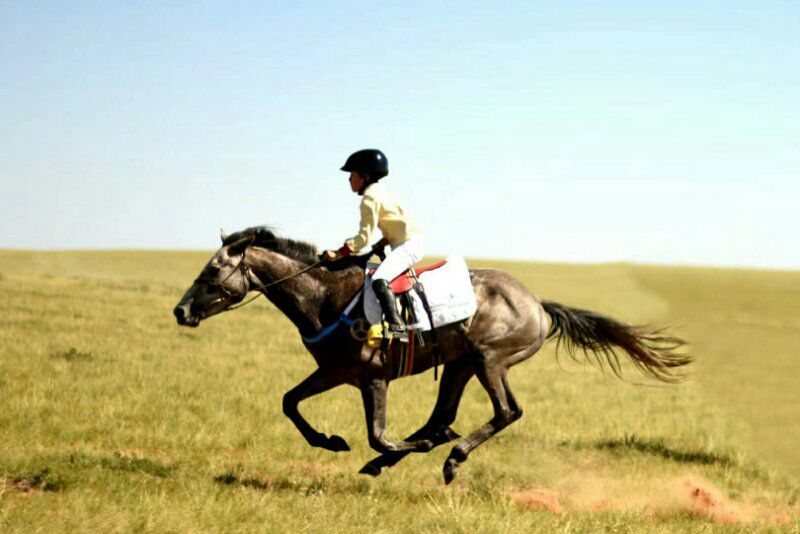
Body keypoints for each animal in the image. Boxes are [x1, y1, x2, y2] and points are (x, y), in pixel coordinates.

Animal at [173, 226, 688, 486]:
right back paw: (419, 451)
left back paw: (450, 458)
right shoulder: (335, 372)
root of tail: (539, 305)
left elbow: (379, 435)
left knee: (505, 412)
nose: (180, 311)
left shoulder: (372, 378)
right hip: (460, 365)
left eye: (213, 270)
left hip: (488, 359)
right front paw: (331, 441)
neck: (326, 295)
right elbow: (289, 402)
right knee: (444, 417)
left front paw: (390, 450)